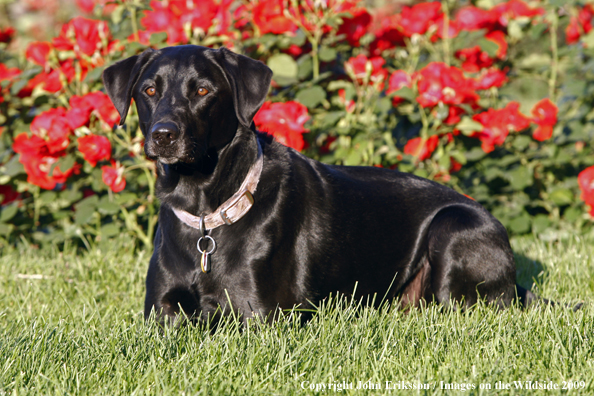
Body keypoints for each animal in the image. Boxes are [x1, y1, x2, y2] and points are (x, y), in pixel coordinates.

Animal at [104, 45, 540, 324]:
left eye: (202, 90)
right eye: (149, 90)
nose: (164, 135)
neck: (205, 212)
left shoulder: (259, 316)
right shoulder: (160, 313)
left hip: (455, 226)